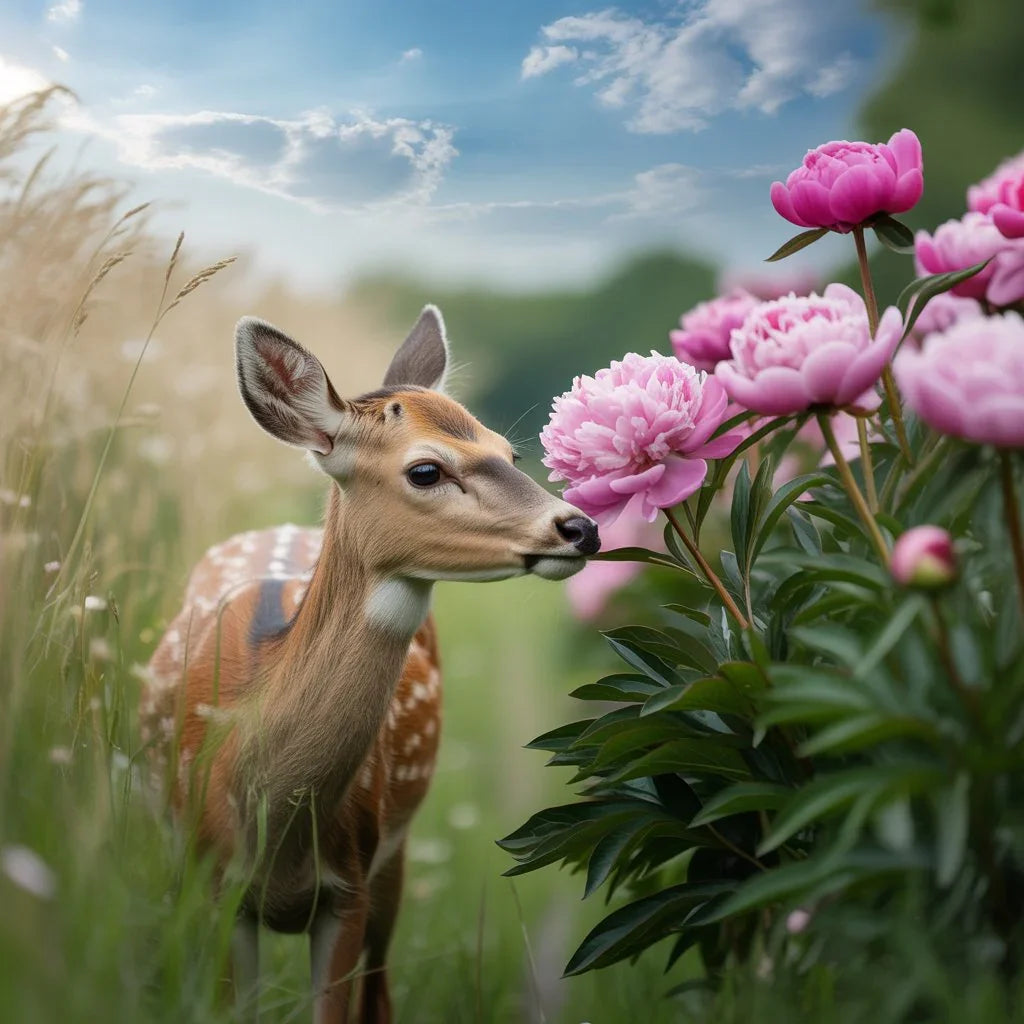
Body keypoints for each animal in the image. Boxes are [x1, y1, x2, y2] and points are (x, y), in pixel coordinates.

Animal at [139, 306, 600, 1024]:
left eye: (510, 453)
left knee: (379, 993)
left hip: (396, 857)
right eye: (426, 471)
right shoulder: (213, 885)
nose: (580, 528)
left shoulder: (350, 886)